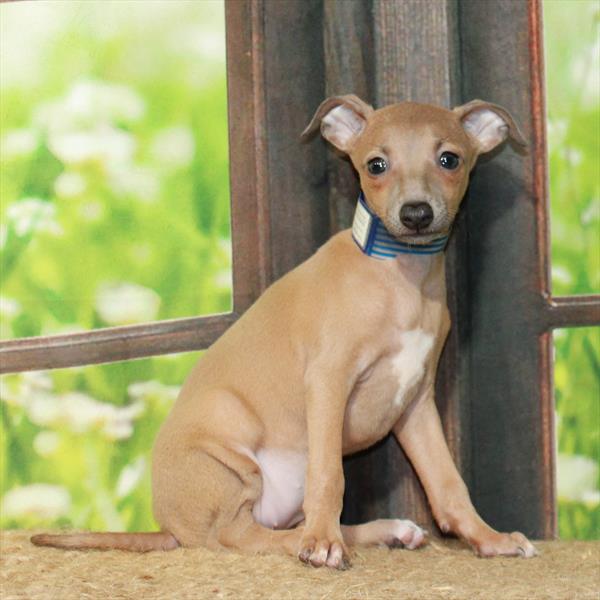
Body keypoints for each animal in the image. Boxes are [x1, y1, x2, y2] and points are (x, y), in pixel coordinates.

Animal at [31, 94, 540, 568]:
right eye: (376, 164)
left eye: (449, 159)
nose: (416, 214)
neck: (399, 277)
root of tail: (168, 527)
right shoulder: (329, 381)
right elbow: (330, 477)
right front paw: (324, 546)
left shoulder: (415, 403)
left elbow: (447, 481)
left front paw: (487, 539)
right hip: (231, 458)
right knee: (239, 536)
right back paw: (317, 542)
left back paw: (382, 531)